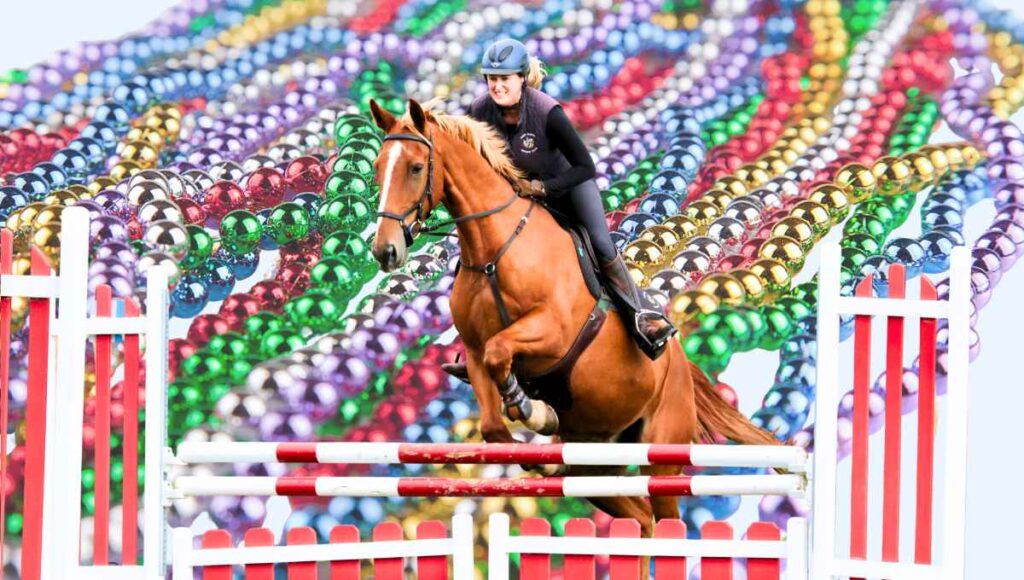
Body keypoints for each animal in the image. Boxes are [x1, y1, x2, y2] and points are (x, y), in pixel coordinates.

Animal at [367, 97, 779, 534]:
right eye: (377, 166)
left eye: (415, 167)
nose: (385, 251)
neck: (494, 252)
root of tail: (684, 368)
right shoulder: (475, 353)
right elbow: (493, 421)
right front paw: (532, 426)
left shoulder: (552, 333)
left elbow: (502, 350)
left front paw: (534, 411)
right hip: (596, 467)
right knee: (640, 516)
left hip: (663, 454)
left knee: (665, 518)